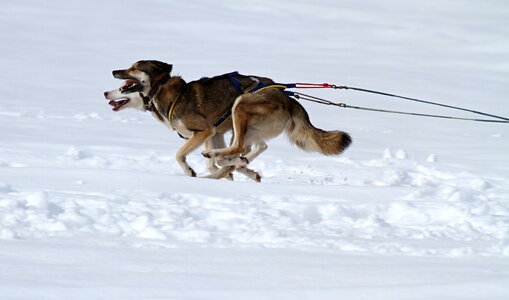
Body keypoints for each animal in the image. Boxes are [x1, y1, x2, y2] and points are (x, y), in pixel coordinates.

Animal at [103, 59, 350, 180]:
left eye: (134, 68)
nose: (106, 91)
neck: (163, 91)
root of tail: (287, 97)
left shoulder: (204, 131)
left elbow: (180, 154)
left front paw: (190, 171)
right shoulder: (216, 134)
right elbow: (218, 163)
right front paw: (235, 169)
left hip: (240, 106)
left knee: (240, 146)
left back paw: (227, 160)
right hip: (245, 126)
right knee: (256, 147)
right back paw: (237, 163)